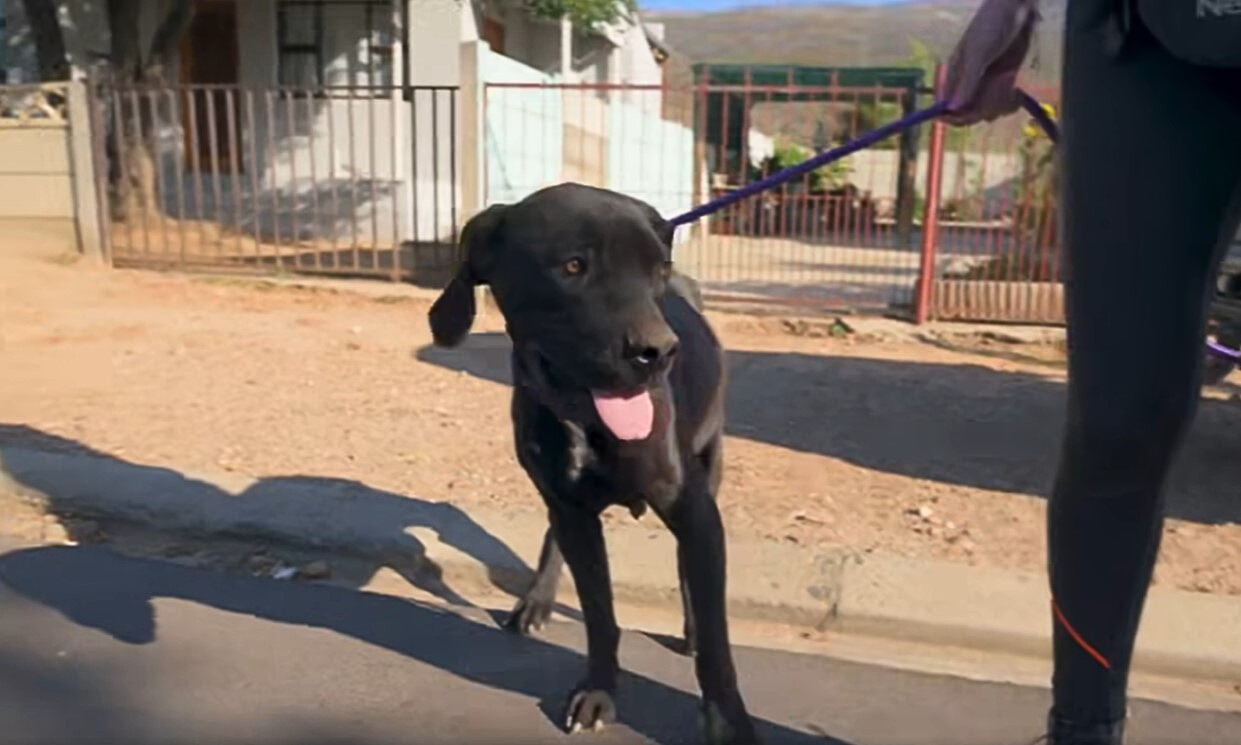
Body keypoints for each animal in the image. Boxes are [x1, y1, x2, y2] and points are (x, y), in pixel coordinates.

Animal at [426, 183, 754, 740]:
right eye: (573, 266)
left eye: (658, 270)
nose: (658, 351)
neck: (584, 420)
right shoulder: (571, 509)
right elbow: (600, 615)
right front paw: (598, 692)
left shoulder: (694, 512)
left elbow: (716, 639)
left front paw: (728, 723)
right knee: (554, 537)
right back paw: (536, 600)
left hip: (709, 466)